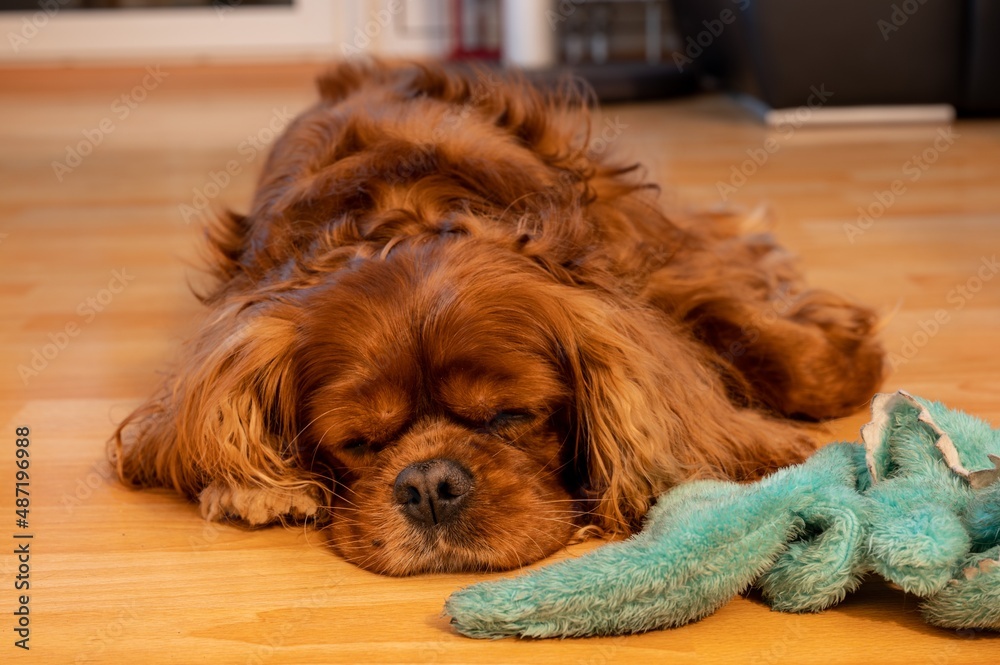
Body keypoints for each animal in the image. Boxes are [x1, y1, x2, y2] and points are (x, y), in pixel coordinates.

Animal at [111, 59, 884, 572]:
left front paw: (848, 359)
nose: (430, 485)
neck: (406, 216)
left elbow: (774, 350)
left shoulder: (642, 269)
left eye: (512, 415)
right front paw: (253, 488)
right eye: (356, 441)